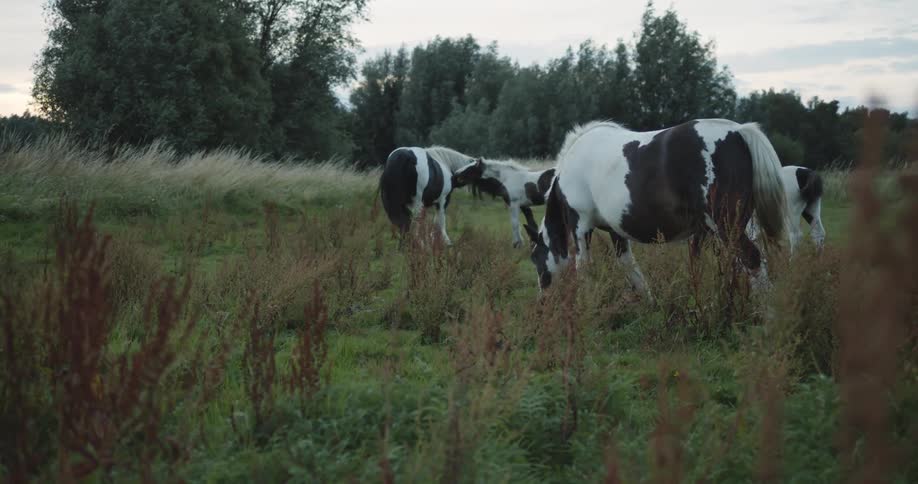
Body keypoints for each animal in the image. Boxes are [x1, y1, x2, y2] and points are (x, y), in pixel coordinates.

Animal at [523, 119, 788, 294]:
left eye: (535, 257)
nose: (543, 299)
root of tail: (738, 133)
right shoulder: (616, 231)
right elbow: (630, 267)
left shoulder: (580, 227)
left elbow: (584, 268)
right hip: (737, 224)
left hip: (726, 224)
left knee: (751, 258)